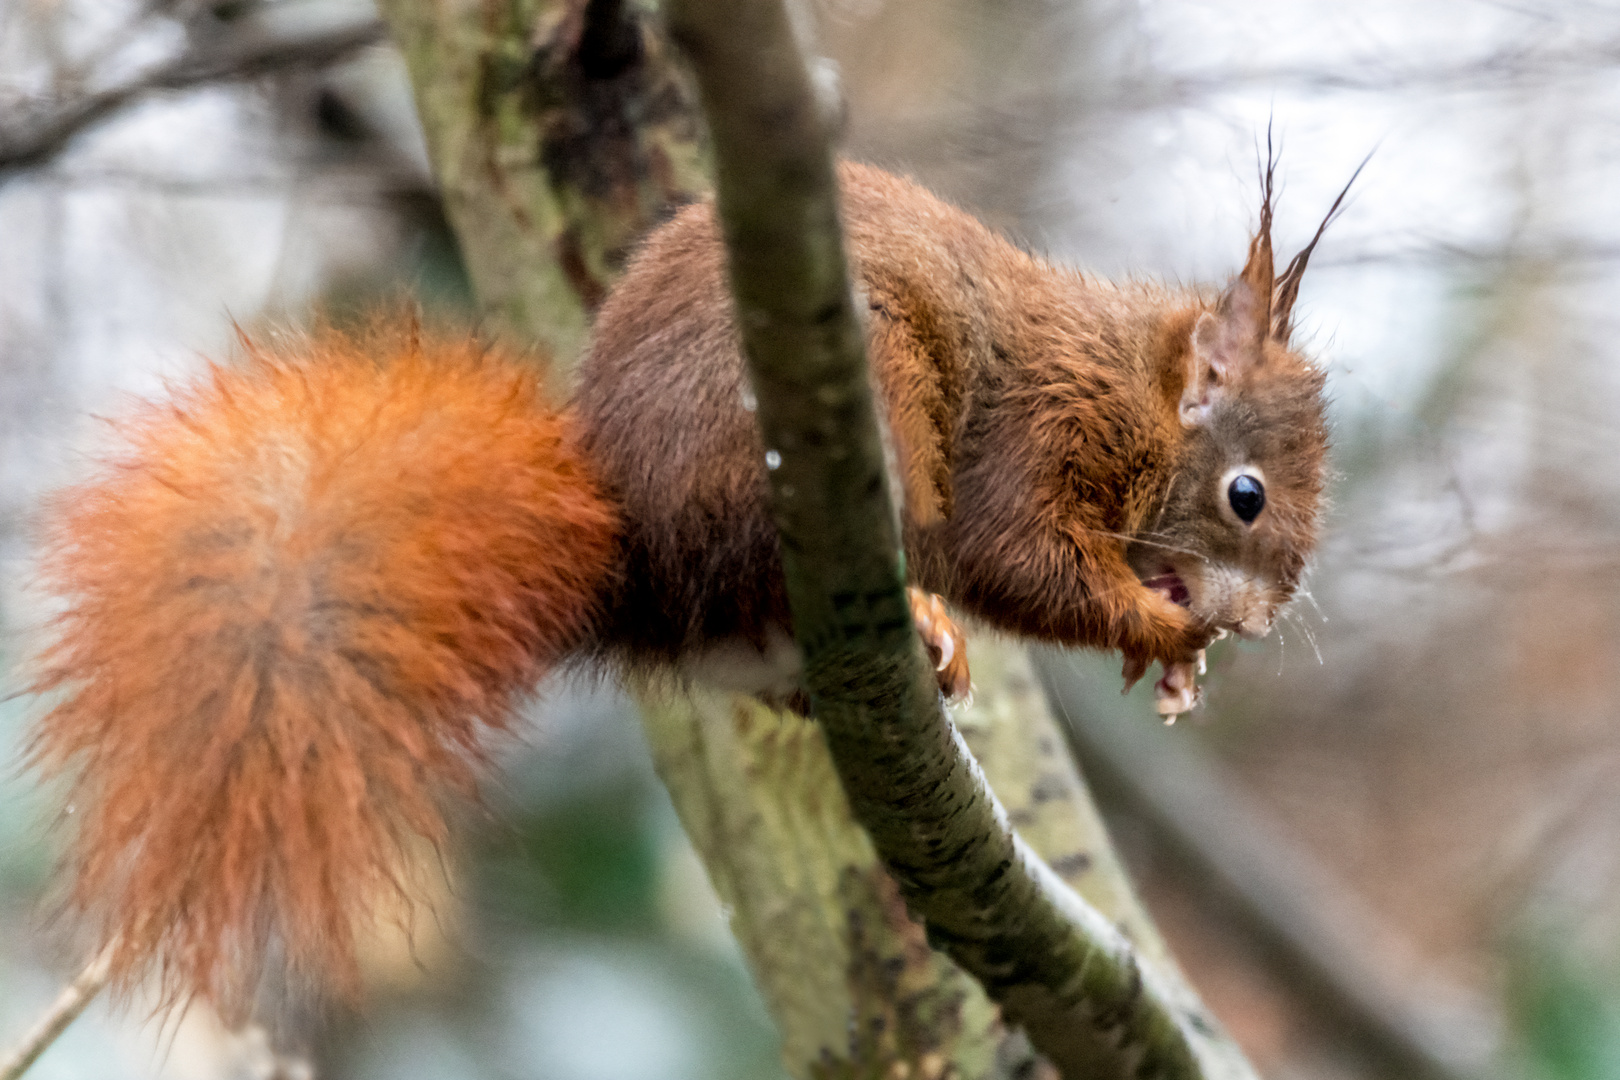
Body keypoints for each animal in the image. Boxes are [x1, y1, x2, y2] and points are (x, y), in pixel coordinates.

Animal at [28, 158, 1328, 1016]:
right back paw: (914, 616)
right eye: (1246, 496)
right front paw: (1159, 625)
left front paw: (1178, 663)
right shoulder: (1050, 424)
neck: (1142, 384)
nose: (1258, 621)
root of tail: (646, 569)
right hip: (848, 412)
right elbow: (1017, 554)